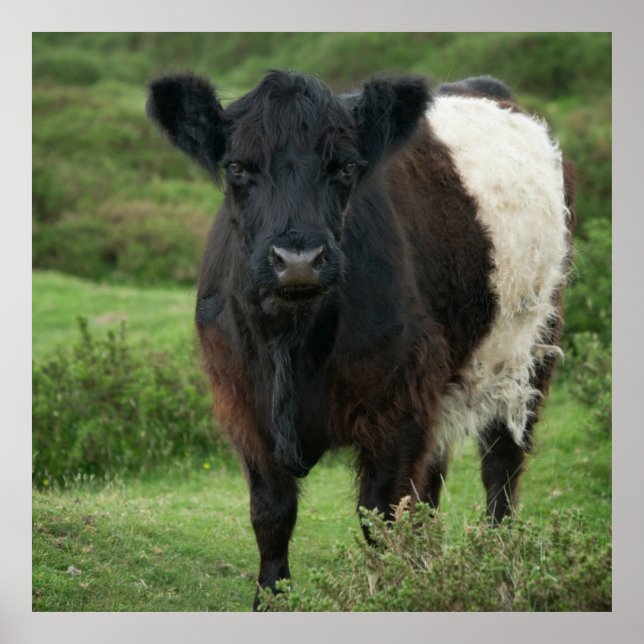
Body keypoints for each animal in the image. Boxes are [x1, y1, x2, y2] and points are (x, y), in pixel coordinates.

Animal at [147, 70, 575, 610]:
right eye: (238, 168)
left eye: (347, 166)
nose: (299, 259)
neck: (293, 340)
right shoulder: (243, 403)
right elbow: (271, 513)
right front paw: (271, 598)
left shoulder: (399, 404)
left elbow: (382, 515)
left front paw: (391, 593)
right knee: (434, 479)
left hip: (530, 351)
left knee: (502, 464)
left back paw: (499, 566)